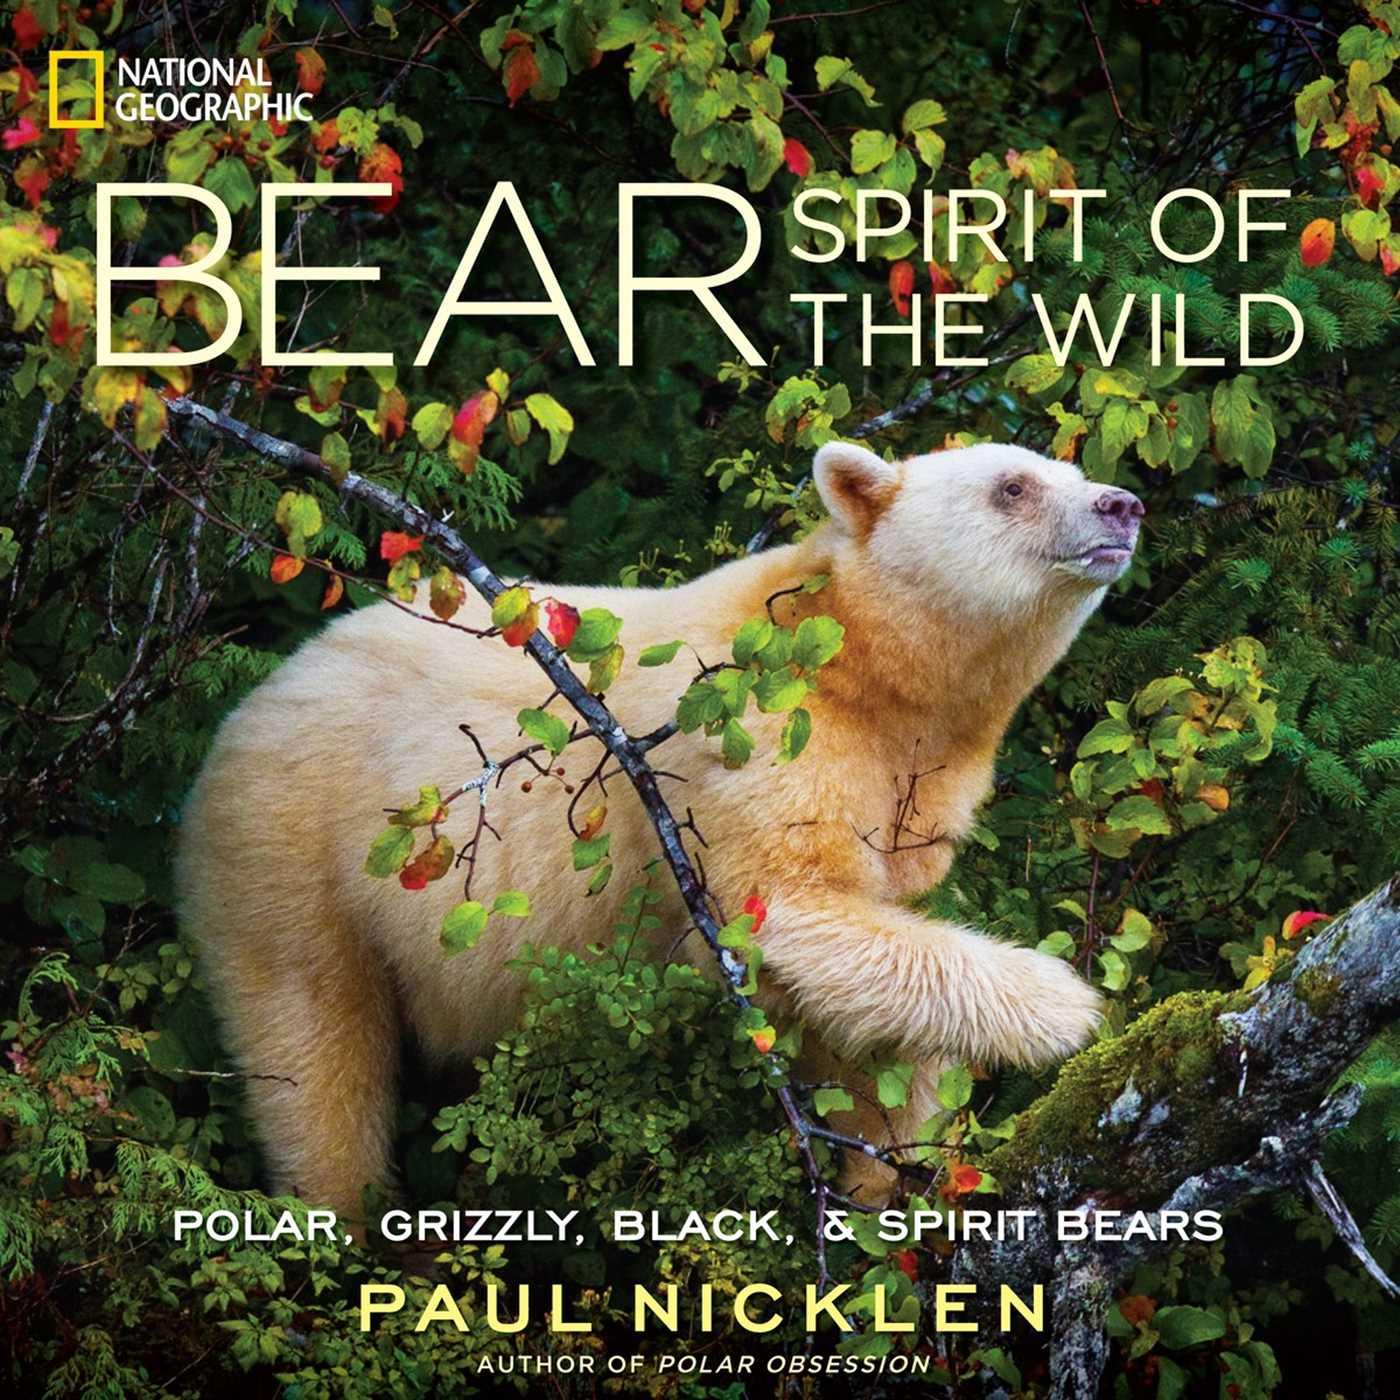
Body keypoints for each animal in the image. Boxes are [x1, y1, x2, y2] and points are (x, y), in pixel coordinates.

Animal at [175, 440, 1143, 1223]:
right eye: (1013, 485)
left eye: (1067, 472)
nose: (1122, 504)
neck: (860, 664)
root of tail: (253, 703)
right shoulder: (756, 739)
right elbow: (791, 910)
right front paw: (1066, 1006)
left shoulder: (918, 790)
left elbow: (868, 991)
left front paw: (892, 1171)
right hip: (295, 849)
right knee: (314, 1051)